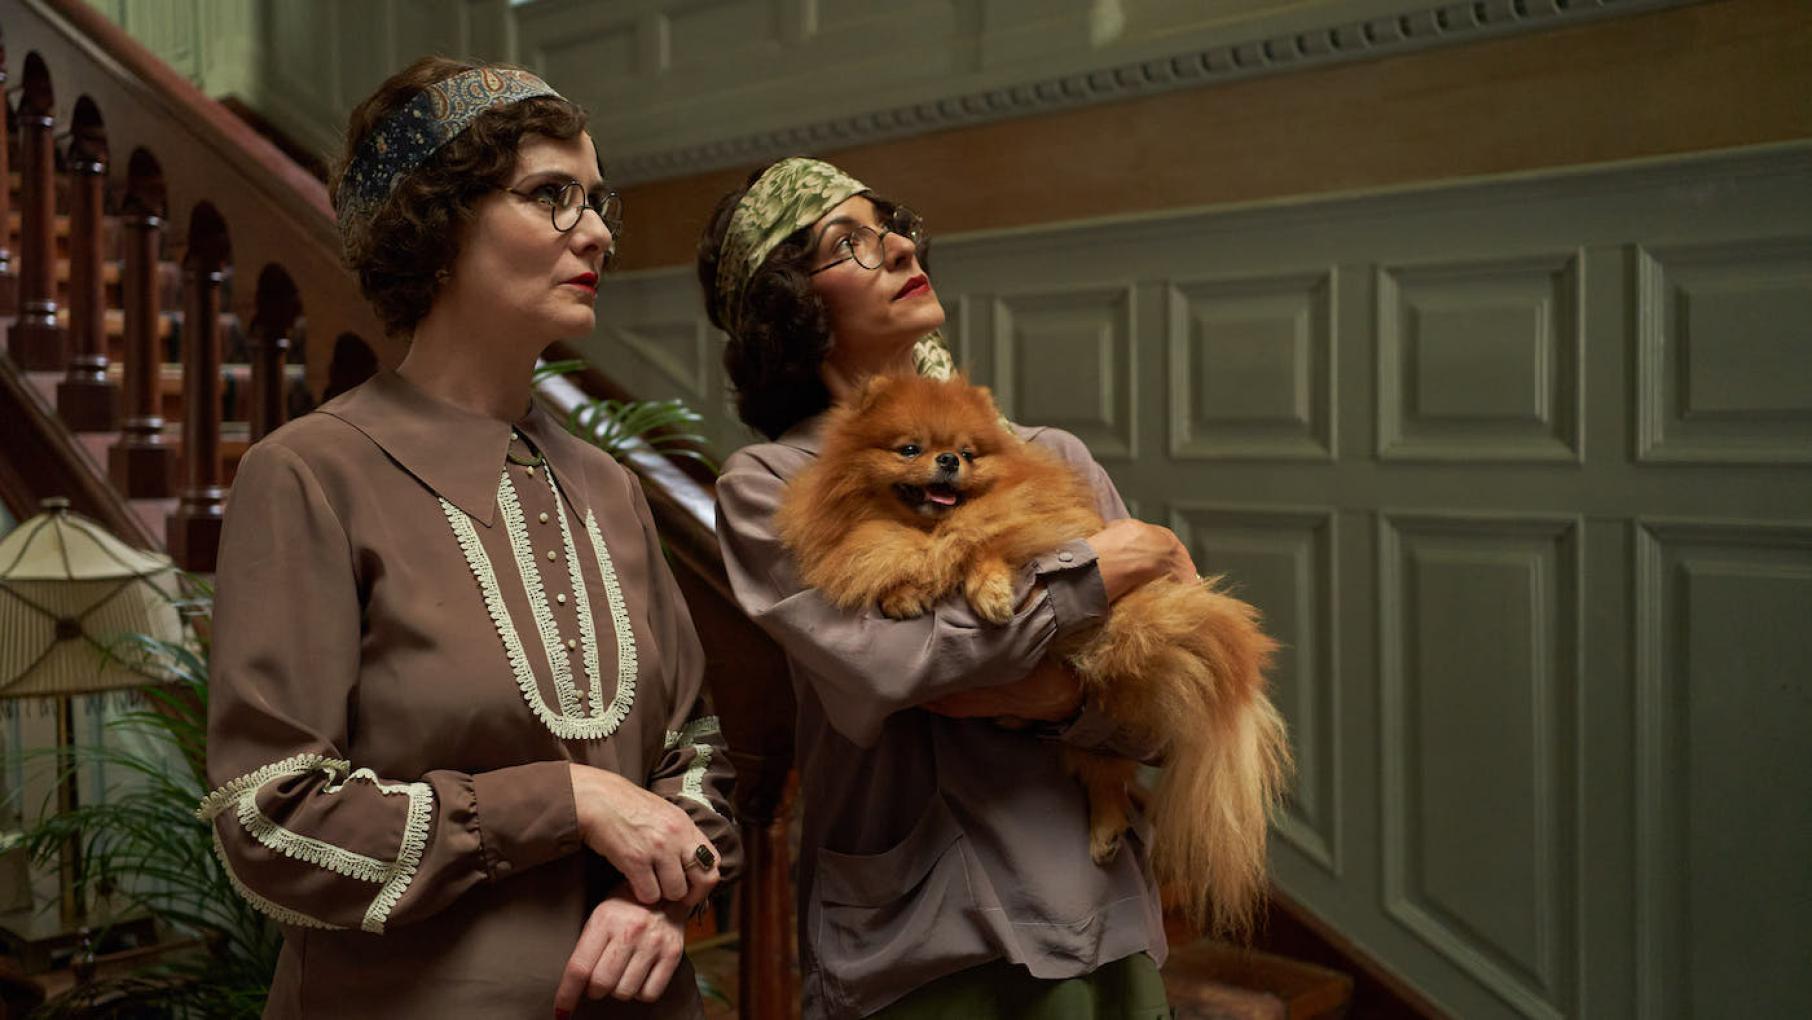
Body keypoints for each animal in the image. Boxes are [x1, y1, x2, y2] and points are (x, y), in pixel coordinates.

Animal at [786, 375, 1297, 942]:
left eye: (968, 453)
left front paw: (989, 591)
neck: (931, 528)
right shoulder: (874, 544)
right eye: (910, 450)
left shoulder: (1028, 524)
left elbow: (985, 547)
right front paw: (904, 592)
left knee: (1109, 768)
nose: (948, 460)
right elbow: (898, 560)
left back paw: (1104, 824)